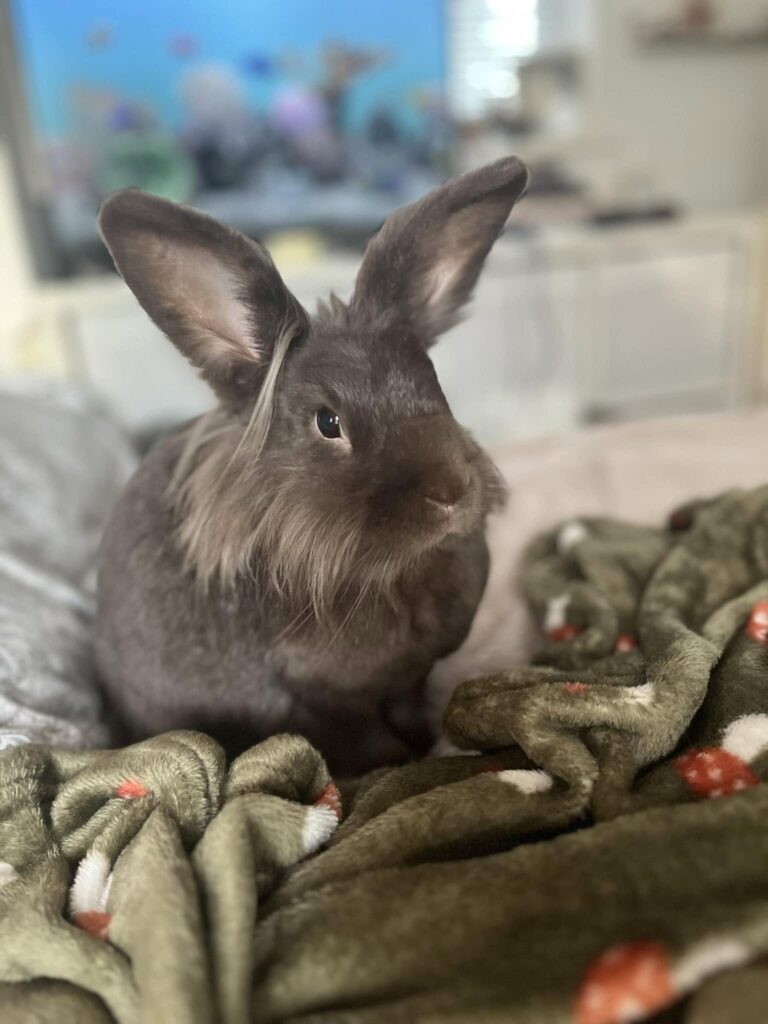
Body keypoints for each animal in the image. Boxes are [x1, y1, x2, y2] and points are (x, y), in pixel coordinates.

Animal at [95, 156, 529, 775]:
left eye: (436, 387)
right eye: (328, 423)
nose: (451, 491)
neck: (401, 572)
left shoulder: (412, 677)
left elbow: (413, 703)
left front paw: (428, 739)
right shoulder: (326, 696)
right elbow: (370, 742)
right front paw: (401, 764)